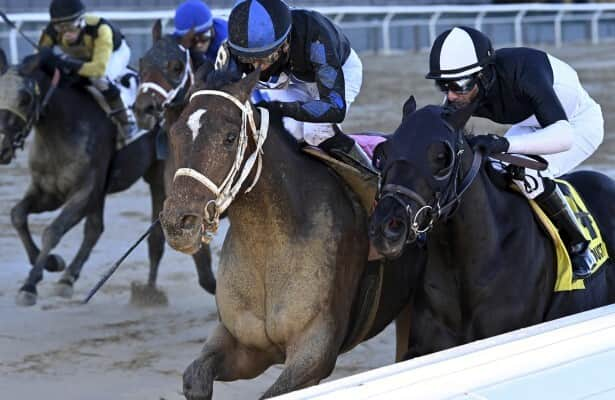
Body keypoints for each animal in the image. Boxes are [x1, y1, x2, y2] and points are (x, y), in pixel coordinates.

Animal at [159, 69, 424, 396]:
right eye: (174, 134)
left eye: (229, 138)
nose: (178, 223)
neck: (270, 246)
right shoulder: (245, 346)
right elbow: (195, 378)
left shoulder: (314, 350)